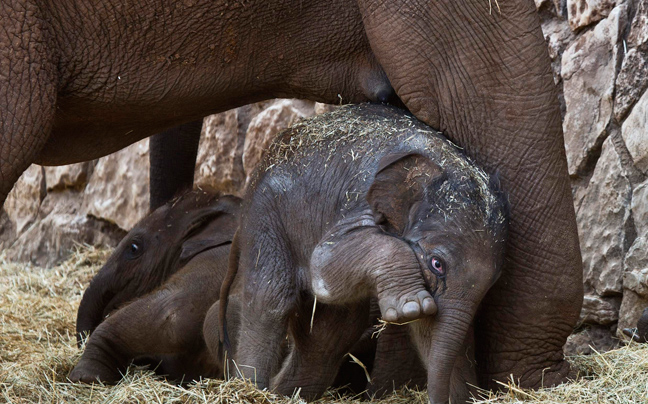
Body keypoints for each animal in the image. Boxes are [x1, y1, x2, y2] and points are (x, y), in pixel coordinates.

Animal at [220, 102, 508, 402]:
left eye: (494, 282)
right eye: (437, 264)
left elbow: (429, 331)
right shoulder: (359, 201)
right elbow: (323, 262)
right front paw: (410, 307)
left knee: (329, 334)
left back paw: (286, 394)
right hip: (265, 217)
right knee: (270, 301)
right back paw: (252, 389)